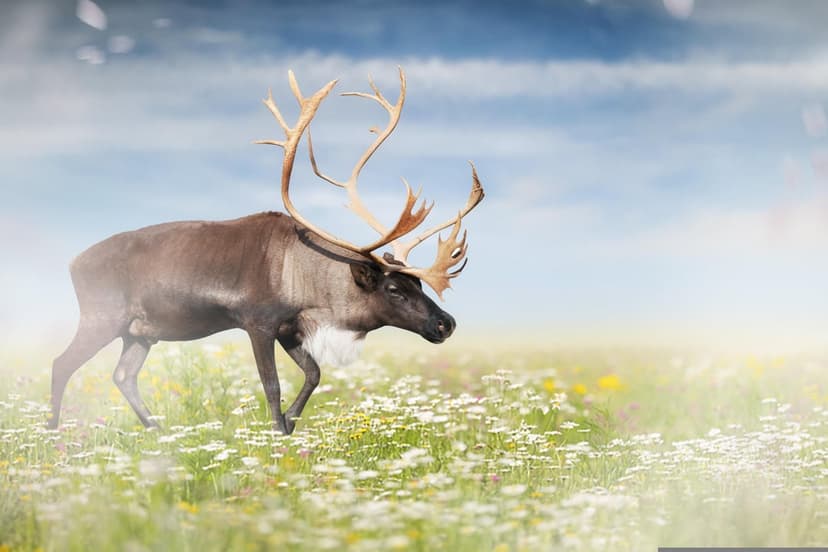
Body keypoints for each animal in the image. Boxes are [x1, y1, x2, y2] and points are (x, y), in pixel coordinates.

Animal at [48, 68, 484, 435]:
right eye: (394, 289)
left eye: (420, 285)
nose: (446, 324)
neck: (308, 281)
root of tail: (71, 263)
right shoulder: (257, 322)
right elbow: (271, 385)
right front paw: (278, 431)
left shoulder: (290, 329)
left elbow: (314, 374)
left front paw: (290, 422)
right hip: (102, 318)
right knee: (61, 364)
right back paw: (53, 434)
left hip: (141, 333)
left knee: (123, 376)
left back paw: (158, 431)